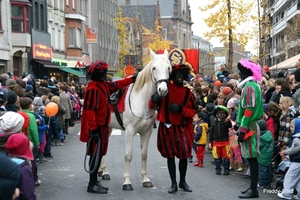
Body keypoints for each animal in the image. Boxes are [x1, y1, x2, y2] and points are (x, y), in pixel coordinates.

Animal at [99, 49, 171, 190]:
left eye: (168, 68)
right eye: (154, 68)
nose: (163, 90)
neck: (141, 99)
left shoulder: (146, 132)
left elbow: (144, 155)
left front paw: (145, 179)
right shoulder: (129, 131)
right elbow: (128, 156)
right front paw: (127, 181)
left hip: (108, 128)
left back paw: (102, 171)